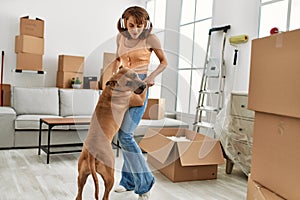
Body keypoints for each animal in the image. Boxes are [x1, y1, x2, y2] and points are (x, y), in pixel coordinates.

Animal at [75, 67, 145, 200]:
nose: (142, 86)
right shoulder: (138, 99)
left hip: (81, 176)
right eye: (128, 83)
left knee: (79, 194)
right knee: (105, 195)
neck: (112, 90)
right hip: (109, 177)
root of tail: (92, 154)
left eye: (135, 75)